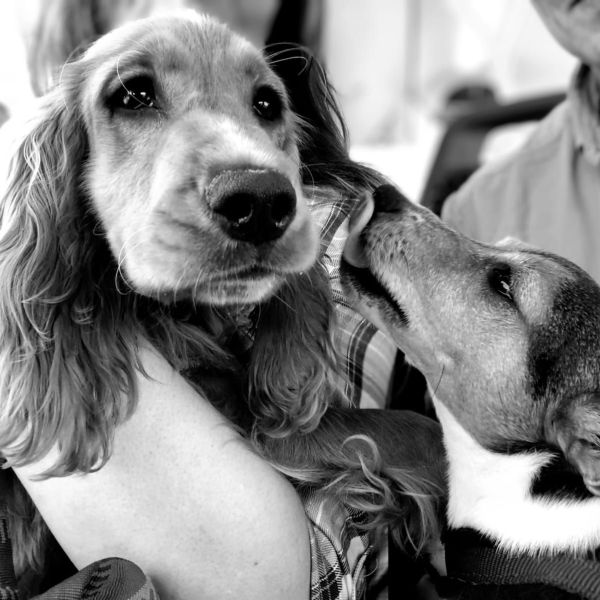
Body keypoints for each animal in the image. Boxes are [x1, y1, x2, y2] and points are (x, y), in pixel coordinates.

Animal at [0, 10, 440, 584]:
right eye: (133, 94)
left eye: (267, 104)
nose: (261, 202)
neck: (179, 315)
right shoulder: (259, 432)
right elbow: (413, 432)